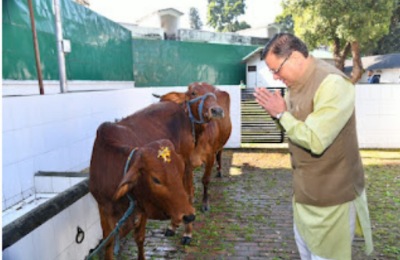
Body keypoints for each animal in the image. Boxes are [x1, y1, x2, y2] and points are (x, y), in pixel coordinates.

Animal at [156, 82, 231, 212]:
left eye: (214, 92)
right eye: (193, 93)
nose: (217, 111)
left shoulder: (210, 157)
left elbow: (205, 179)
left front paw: (205, 203)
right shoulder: (185, 160)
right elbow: (188, 183)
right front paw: (190, 198)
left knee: (219, 153)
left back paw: (219, 171)